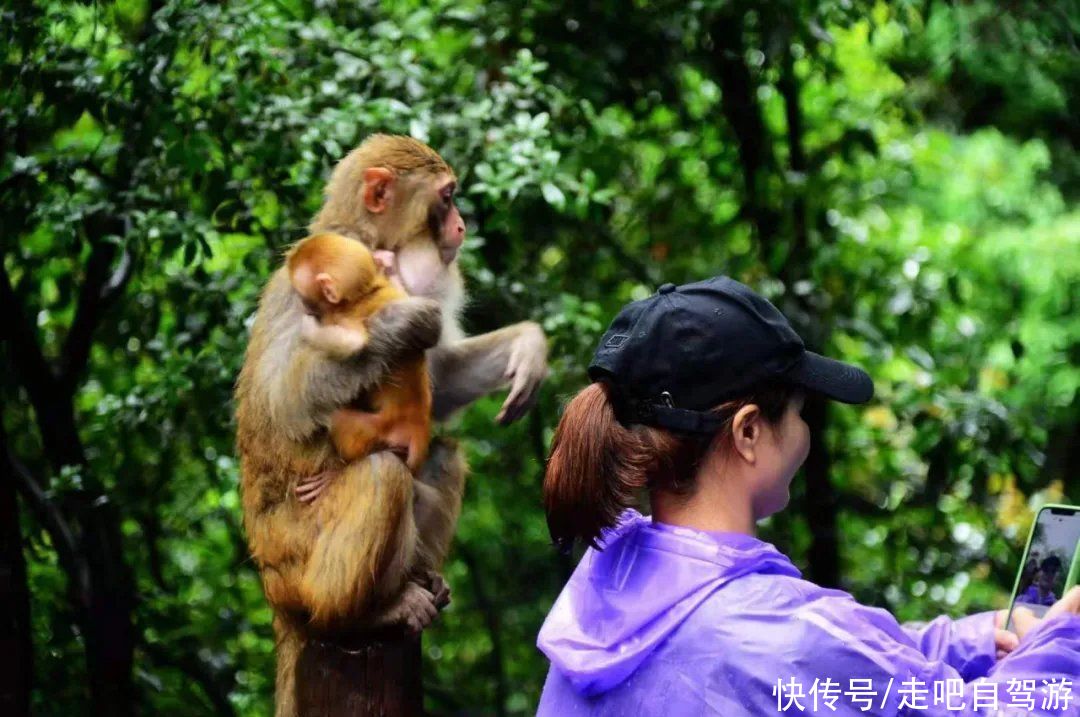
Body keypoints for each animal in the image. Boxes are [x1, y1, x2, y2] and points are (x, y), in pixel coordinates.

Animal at [291, 232, 434, 483]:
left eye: (303, 296)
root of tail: (418, 426)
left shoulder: (349, 316)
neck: (365, 293)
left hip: (374, 429)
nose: (303, 308)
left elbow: (354, 344)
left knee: (338, 418)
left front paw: (307, 327)